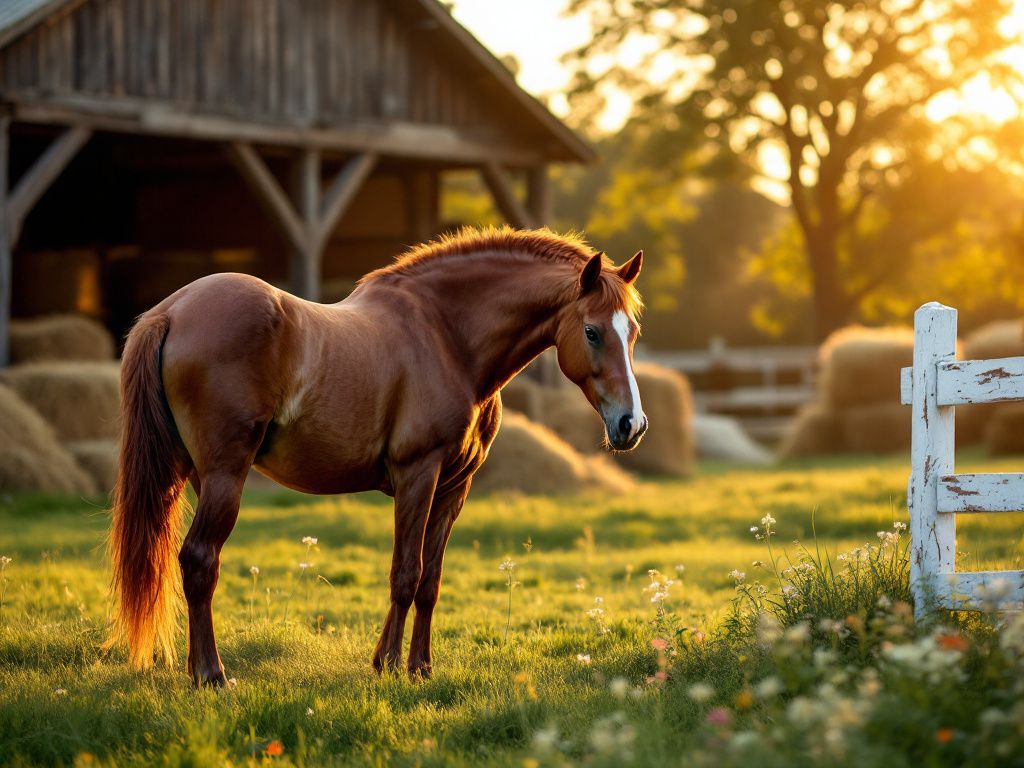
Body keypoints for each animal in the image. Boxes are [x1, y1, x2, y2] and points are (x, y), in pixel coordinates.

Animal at [106, 227, 647, 686]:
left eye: (633, 333)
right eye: (593, 332)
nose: (631, 424)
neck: (447, 336)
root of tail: (171, 311)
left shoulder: (454, 487)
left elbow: (430, 581)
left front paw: (421, 668)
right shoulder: (417, 475)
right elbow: (404, 574)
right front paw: (387, 664)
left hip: (190, 475)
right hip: (224, 476)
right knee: (200, 560)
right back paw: (212, 676)